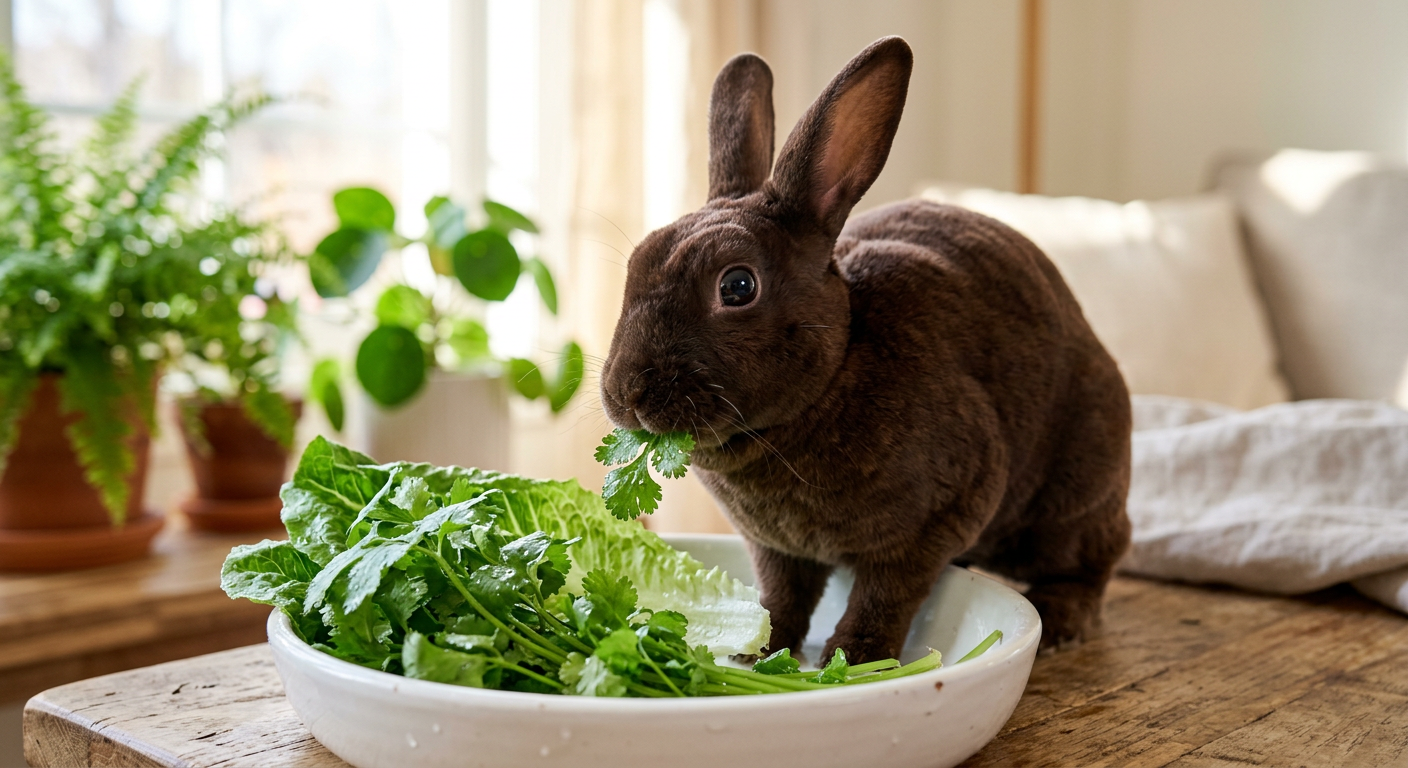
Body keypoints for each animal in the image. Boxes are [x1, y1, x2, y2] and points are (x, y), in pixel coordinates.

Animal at [600, 36, 1131, 663]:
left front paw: (856, 659)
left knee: (1093, 559)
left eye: (737, 286)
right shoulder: (778, 550)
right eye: (636, 265)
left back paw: (1061, 619)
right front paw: (759, 655)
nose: (627, 392)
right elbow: (780, 598)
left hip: (1073, 498)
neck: (833, 373)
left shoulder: (934, 521)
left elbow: (885, 594)